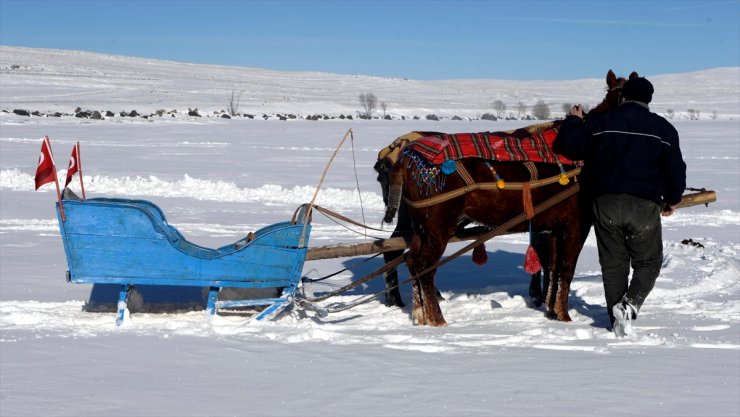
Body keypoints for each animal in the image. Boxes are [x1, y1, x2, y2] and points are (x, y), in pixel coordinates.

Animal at [382, 70, 636, 324]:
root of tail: (405, 158)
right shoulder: (577, 224)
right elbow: (566, 268)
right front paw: (564, 315)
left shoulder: (555, 226)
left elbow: (553, 268)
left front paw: (551, 310)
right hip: (438, 225)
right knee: (424, 265)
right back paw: (436, 319)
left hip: (419, 226)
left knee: (411, 261)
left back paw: (419, 313)